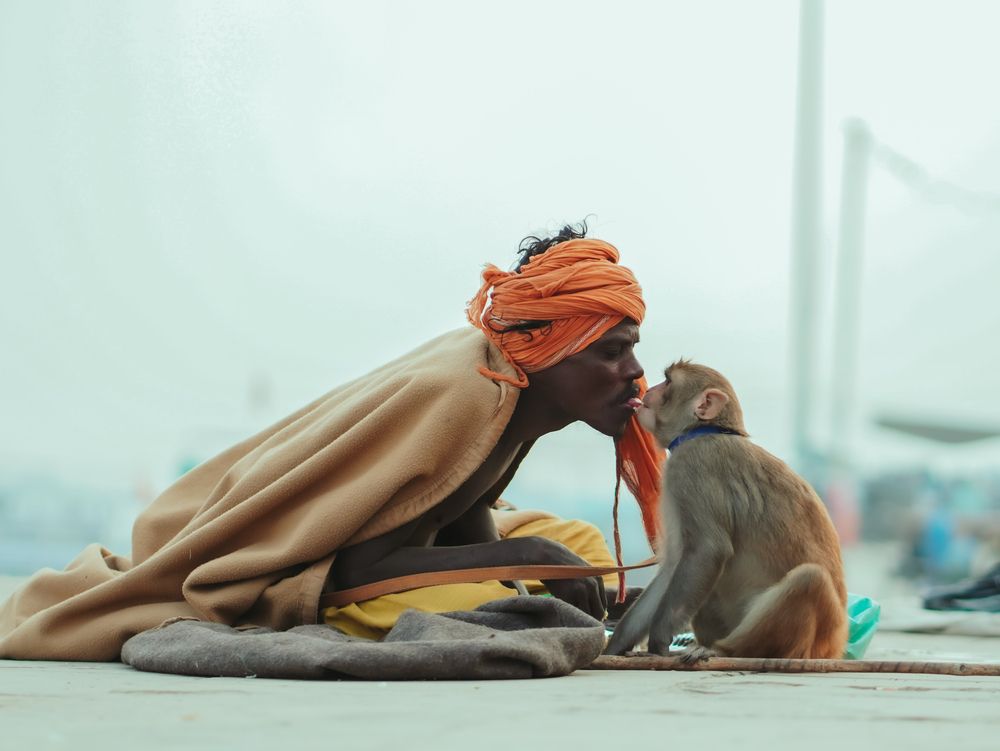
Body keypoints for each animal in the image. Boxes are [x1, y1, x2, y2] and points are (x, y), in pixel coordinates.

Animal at [605, 360, 847, 660]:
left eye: (668, 382)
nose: (646, 390)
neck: (704, 431)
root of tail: (835, 646)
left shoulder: (692, 467)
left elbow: (708, 549)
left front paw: (658, 642)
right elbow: (674, 565)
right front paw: (616, 644)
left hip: (811, 642)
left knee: (809, 578)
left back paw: (723, 651)